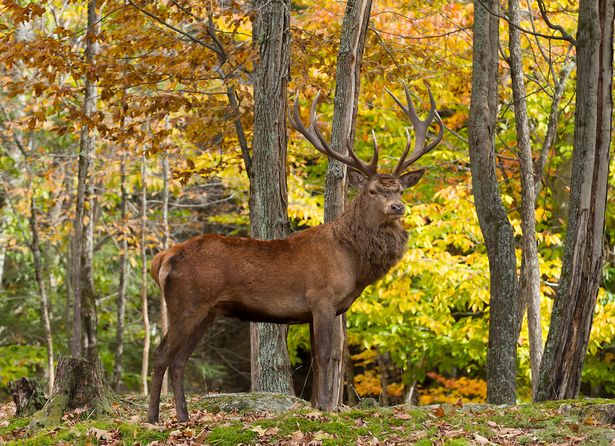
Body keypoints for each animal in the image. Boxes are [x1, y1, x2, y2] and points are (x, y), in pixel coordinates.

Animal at [146, 83, 442, 422]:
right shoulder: (322, 297)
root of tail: (163, 258)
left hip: (207, 311)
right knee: (162, 354)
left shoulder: (317, 310)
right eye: (372, 191)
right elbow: (327, 355)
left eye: (400, 190)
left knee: (180, 359)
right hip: (187, 303)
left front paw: (316, 406)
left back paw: (183, 417)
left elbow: (317, 357)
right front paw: (327, 407)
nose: (398, 207)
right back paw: (153, 418)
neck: (352, 261)